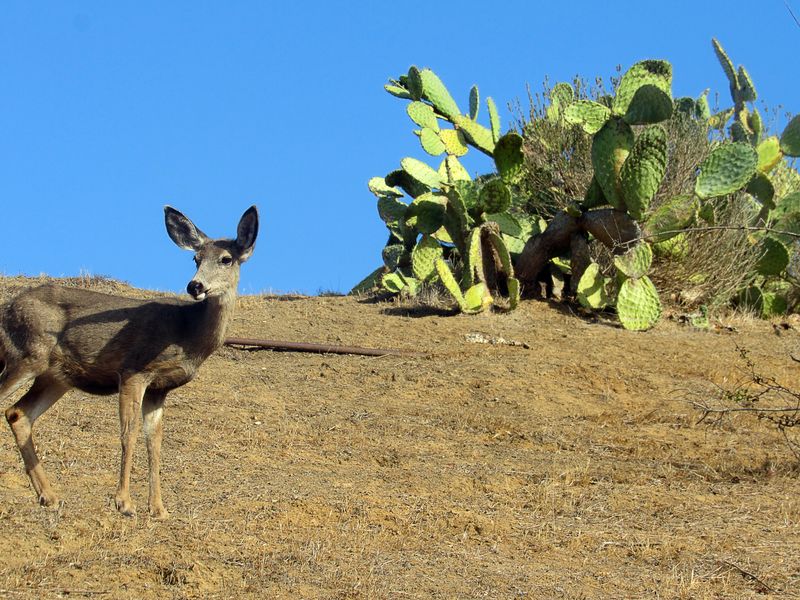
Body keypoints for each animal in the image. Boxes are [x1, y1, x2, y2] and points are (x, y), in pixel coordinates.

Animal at [1, 205, 258, 519]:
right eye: (195, 258)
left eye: (226, 259)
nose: (195, 285)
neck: (187, 332)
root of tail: (6, 309)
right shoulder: (134, 370)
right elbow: (129, 432)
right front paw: (124, 503)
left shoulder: (160, 388)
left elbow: (154, 442)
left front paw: (158, 509)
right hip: (26, 354)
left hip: (55, 376)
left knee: (18, 413)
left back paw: (49, 496)